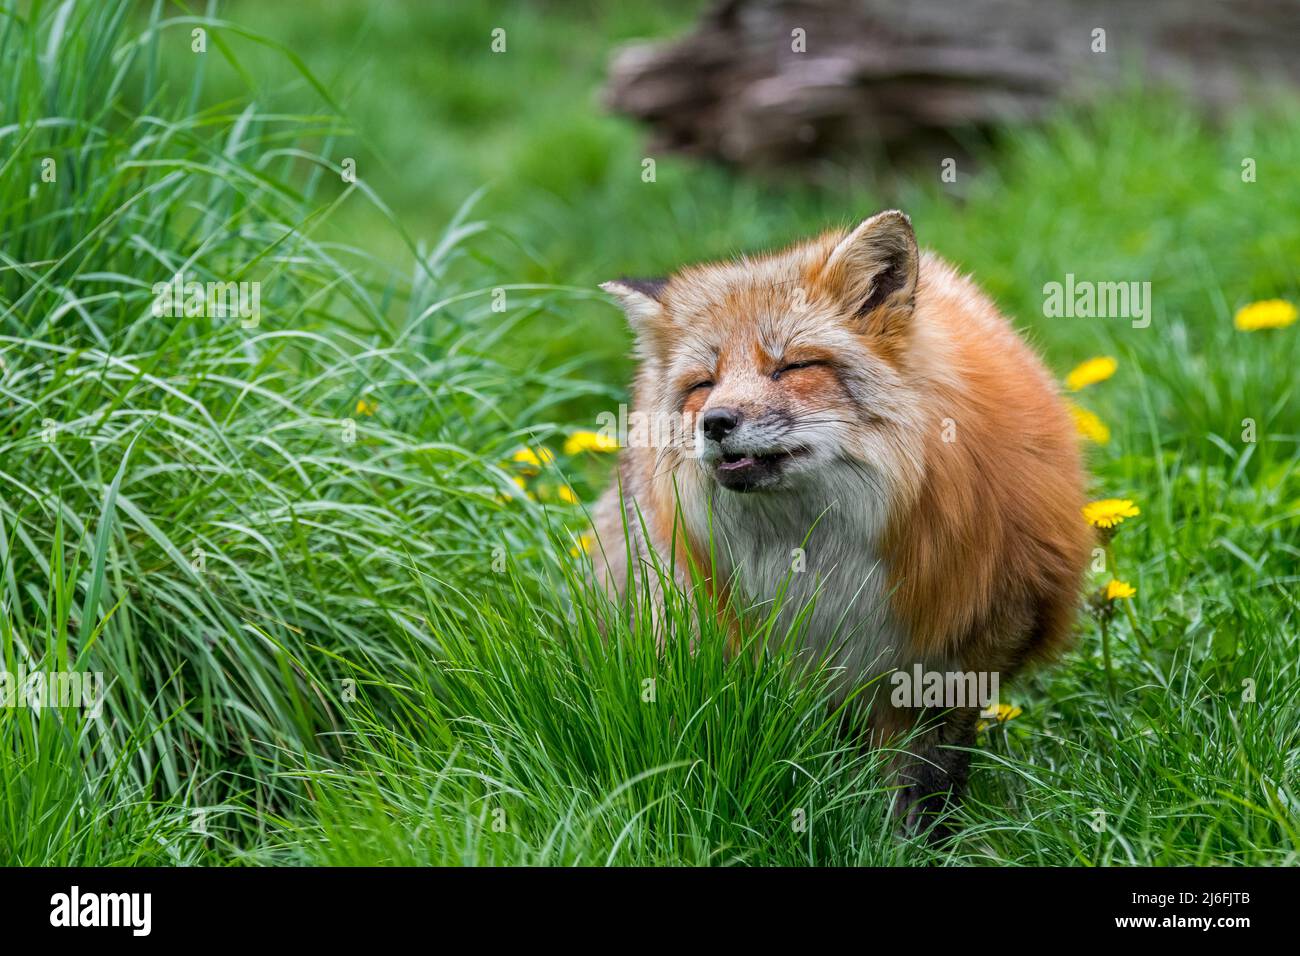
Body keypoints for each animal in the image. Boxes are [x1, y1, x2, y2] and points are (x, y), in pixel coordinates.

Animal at [590, 210, 1091, 833]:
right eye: (703, 384)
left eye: (792, 366)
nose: (716, 422)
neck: (821, 565)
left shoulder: (963, 648)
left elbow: (923, 779)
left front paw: (915, 840)